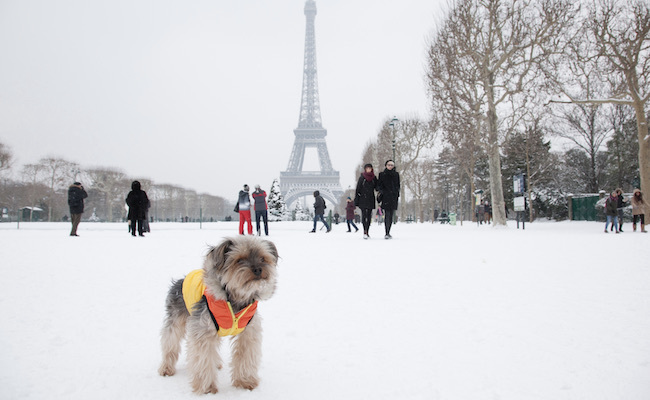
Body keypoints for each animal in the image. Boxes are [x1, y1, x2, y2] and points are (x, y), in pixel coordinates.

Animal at [159, 238, 278, 394]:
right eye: (240, 260)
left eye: (263, 258)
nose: (258, 269)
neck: (235, 298)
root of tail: (182, 279)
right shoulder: (203, 329)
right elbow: (203, 358)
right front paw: (207, 389)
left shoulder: (249, 331)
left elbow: (245, 356)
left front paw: (245, 382)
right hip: (176, 317)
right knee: (170, 342)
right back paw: (166, 368)